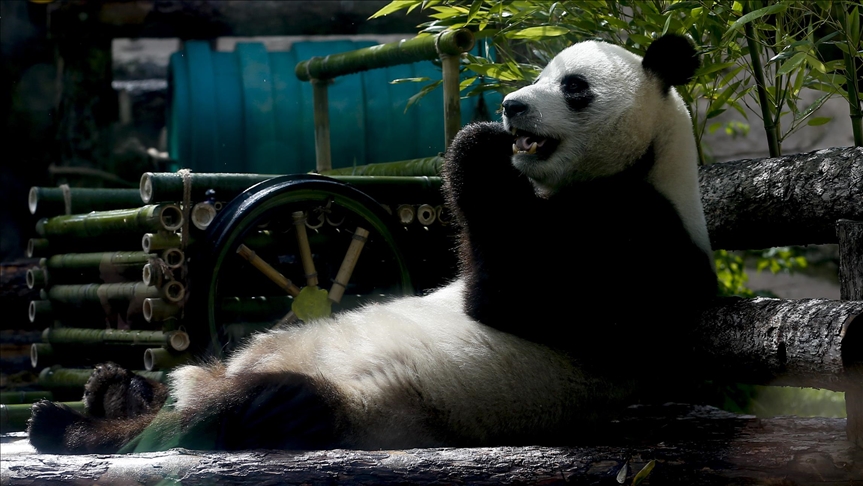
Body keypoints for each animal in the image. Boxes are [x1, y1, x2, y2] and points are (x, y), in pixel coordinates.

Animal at [27, 33, 716, 454]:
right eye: (538, 74)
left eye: (573, 86)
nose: (513, 106)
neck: (649, 163)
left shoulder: (640, 233)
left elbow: (518, 296)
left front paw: (478, 144)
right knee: (189, 389)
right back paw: (115, 389)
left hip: (365, 404)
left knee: (228, 414)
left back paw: (69, 425)